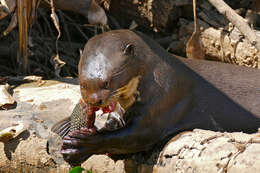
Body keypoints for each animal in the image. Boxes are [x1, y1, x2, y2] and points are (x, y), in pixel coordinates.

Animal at [53, 29, 260, 165]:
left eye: (107, 82)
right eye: (82, 83)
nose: (93, 101)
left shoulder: (164, 100)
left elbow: (134, 137)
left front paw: (80, 146)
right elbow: (116, 123)